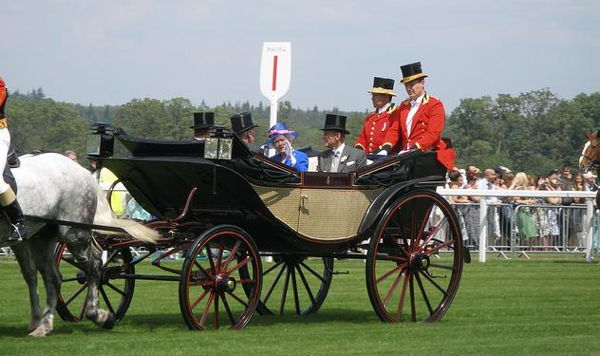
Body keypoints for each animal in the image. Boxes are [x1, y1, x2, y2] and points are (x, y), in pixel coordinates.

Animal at [0, 153, 158, 336]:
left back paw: (98, 316)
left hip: (74, 234)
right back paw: (43, 325)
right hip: (40, 237)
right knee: (51, 277)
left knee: (94, 266)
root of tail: (84, 172)